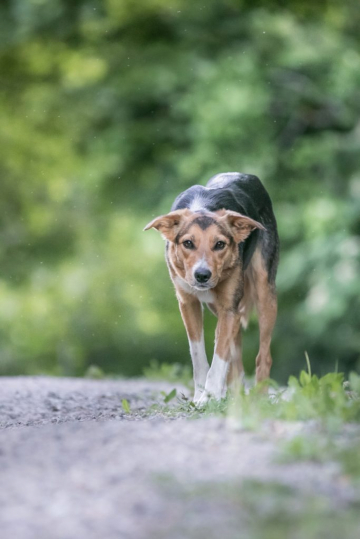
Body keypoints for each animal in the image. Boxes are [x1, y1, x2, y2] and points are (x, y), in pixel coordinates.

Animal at [145, 173, 280, 404]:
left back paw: (259, 398)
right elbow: (198, 353)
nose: (202, 275)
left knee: (264, 356)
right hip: (219, 308)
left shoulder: (229, 308)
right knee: (236, 356)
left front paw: (210, 396)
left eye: (220, 244)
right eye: (188, 243)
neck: (203, 206)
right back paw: (235, 395)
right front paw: (201, 395)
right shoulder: (188, 303)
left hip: (265, 293)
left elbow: (220, 357)